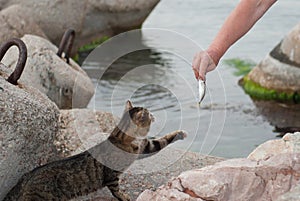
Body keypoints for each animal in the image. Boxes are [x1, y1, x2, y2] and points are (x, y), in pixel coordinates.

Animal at [4, 100, 188, 201]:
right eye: (148, 115)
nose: (153, 114)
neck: (121, 136)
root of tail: (25, 179)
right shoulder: (112, 176)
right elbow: (116, 191)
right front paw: (124, 197)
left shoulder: (145, 147)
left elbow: (162, 141)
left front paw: (180, 133)